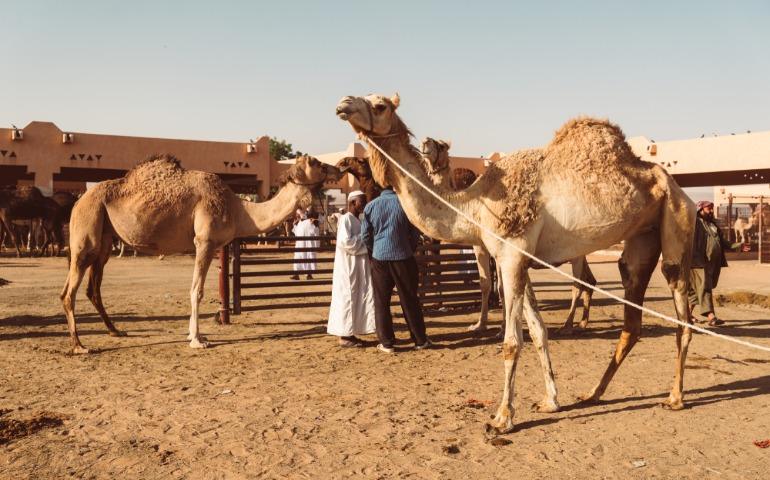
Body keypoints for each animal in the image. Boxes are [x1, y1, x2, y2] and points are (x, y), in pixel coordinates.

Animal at [61, 154, 341, 354]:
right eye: (317, 163)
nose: (339, 167)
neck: (239, 210)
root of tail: (77, 202)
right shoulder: (204, 241)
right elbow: (197, 290)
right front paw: (197, 339)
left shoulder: (210, 244)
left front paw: (194, 334)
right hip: (87, 232)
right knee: (69, 292)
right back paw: (79, 346)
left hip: (104, 241)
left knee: (91, 288)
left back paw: (115, 331)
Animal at [420, 138, 597, 335]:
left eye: (441, 145)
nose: (425, 142)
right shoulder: (481, 246)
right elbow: (485, 283)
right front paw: (480, 324)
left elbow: (501, 287)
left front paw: (502, 327)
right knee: (589, 281)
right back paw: (582, 322)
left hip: (576, 252)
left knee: (577, 285)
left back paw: (567, 326)